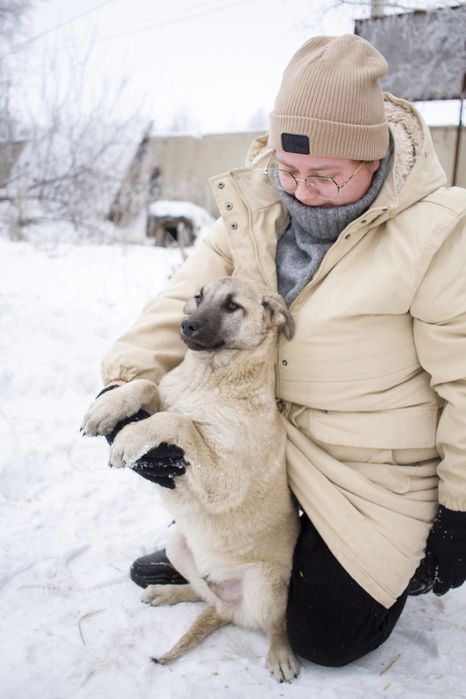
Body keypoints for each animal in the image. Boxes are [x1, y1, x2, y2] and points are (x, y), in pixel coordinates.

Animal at [81, 276, 300, 682]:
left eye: (232, 306)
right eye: (198, 296)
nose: (185, 325)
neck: (209, 376)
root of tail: (230, 605)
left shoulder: (225, 480)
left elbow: (177, 421)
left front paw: (129, 438)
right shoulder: (165, 396)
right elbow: (149, 388)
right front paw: (108, 408)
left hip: (266, 587)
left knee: (275, 624)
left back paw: (281, 655)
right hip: (177, 547)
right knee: (204, 594)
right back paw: (166, 593)